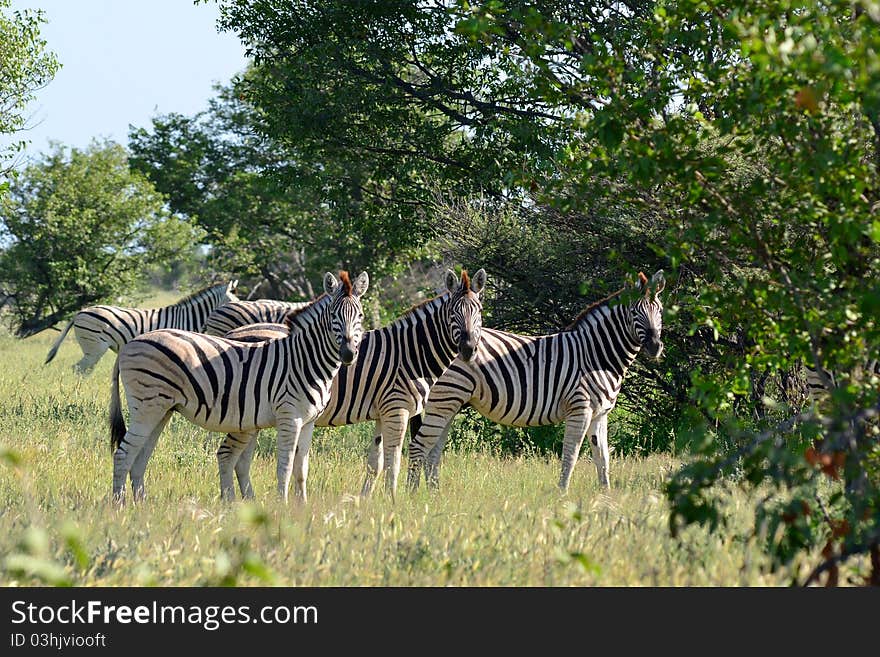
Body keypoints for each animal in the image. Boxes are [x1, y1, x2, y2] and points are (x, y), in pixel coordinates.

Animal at [108, 270, 370, 504]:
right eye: (333, 315)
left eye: (360, 316)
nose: (348, 354)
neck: (305, 359)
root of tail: (130, 344)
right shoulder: (289, 417)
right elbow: (284, 467)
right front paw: (283, 507)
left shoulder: (308, 422)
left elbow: (301, 470)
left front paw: (301, 508)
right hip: (147, 407)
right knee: (123, 454)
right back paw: (119, 505)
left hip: (162, 410)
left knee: (140, 457)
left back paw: (142, 504)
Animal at [218, 266, 488, 498]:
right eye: (453, 313)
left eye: (479, 312)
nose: (468, 349)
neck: (409, 353)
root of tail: (231, 334)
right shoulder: (396, 409)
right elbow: (392, 462)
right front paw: (393, 502)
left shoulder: (382, 413)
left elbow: (375, 463)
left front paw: (366, 502)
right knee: (231, 455)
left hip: (254, 417)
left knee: (241, 460)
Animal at [410, 268, 664, 492]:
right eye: (634, 312)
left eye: (660, 311)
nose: (654, 346)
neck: (596, 355)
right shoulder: (579, 408)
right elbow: (571, 454)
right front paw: (562, 494)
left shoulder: (600, 413)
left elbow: (602, 458)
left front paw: (605, 497)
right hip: (445, 399)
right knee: (420, 446)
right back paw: (415, 496)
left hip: (451, 403)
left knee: (433, 452)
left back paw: (435, 496)